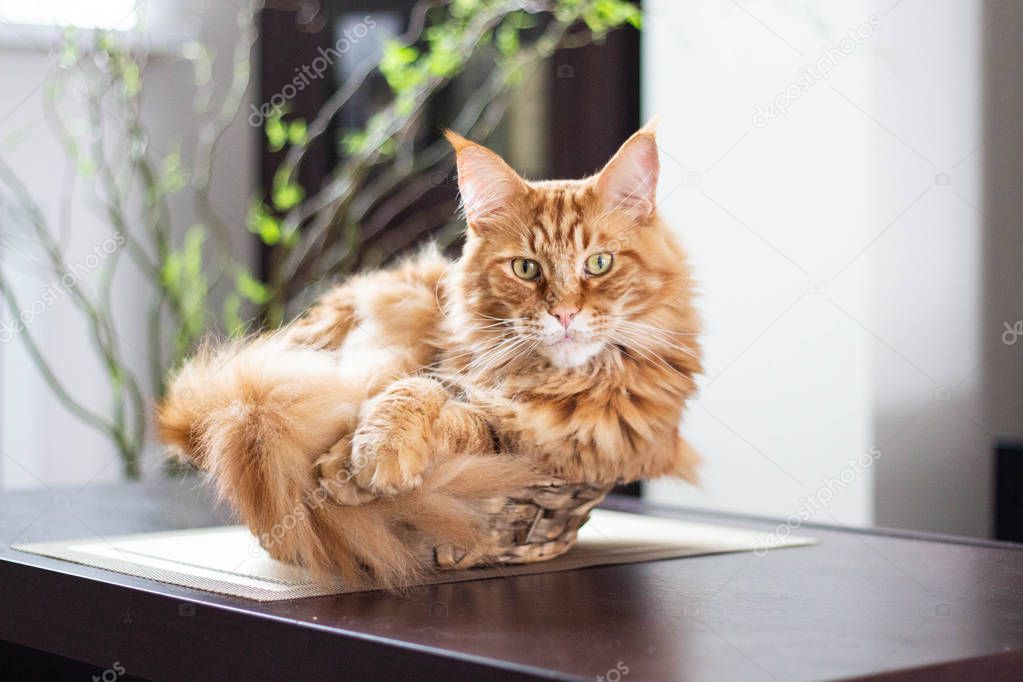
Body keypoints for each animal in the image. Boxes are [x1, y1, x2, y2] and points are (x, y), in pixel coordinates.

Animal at [157, 125, 703, 588]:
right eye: (526, 269)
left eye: (599, 264)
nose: (565, 314)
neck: (551, 379)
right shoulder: (446, 377)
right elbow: (412, 393)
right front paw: (364, 454)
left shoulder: (556, 449)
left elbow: (463, 425)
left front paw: (355, 466)